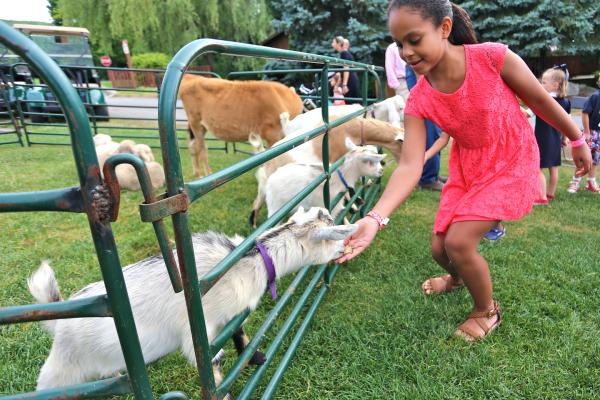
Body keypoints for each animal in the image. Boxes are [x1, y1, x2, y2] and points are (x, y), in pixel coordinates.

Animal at [27, 208, 356, 390]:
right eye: (332, 235)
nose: (345, 249)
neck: (246, 262)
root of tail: (60, 323)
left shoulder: (229, 316)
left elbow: (239, 331)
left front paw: (256, 357)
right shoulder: (200, 331)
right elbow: (215, 367)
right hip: (63, 367)